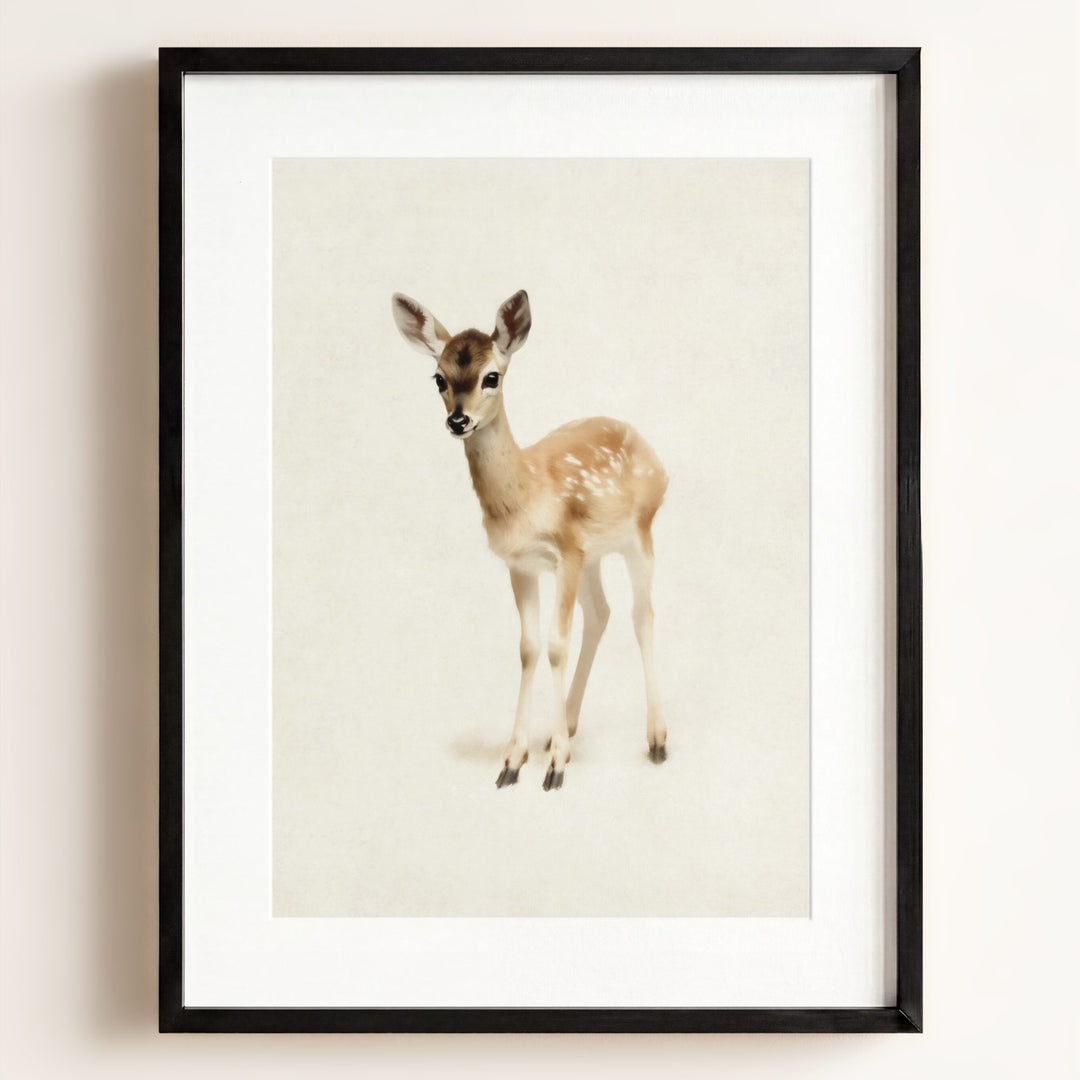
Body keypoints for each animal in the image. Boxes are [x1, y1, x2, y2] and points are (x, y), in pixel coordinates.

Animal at [391, 290, 668, 791]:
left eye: (492, 376)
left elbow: (557, 644)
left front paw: (555, 768)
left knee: (642, 614)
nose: (458, 420)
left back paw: (655, 739)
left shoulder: (566, 552)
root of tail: (654, 454)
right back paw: (567, 727)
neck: (527, 497)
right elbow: (529, 648)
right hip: (594, 555)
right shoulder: (522, 564)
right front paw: (514, 759)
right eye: (439, 377)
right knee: (601, 613)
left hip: (638, 532)